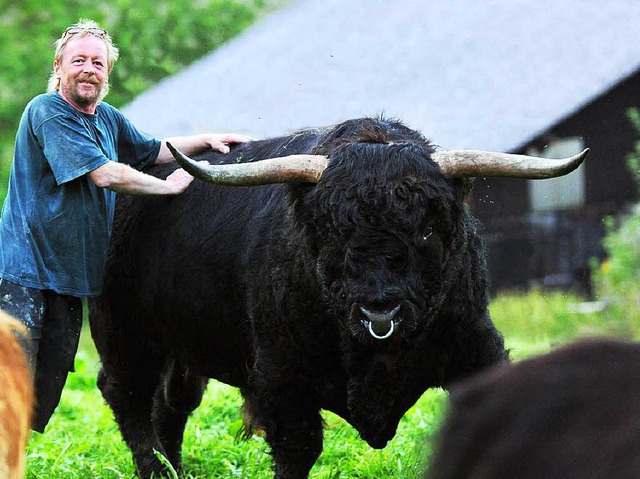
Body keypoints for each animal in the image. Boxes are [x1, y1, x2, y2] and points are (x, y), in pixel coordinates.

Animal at [87, 117, 588, 479]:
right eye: (332, 232)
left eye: (427, 230)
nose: (379, 310)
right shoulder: (281, 376)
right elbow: (298, 449)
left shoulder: (476, 347)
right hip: (123, 333)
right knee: (128, 399)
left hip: (183, 348)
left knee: (170, 407)